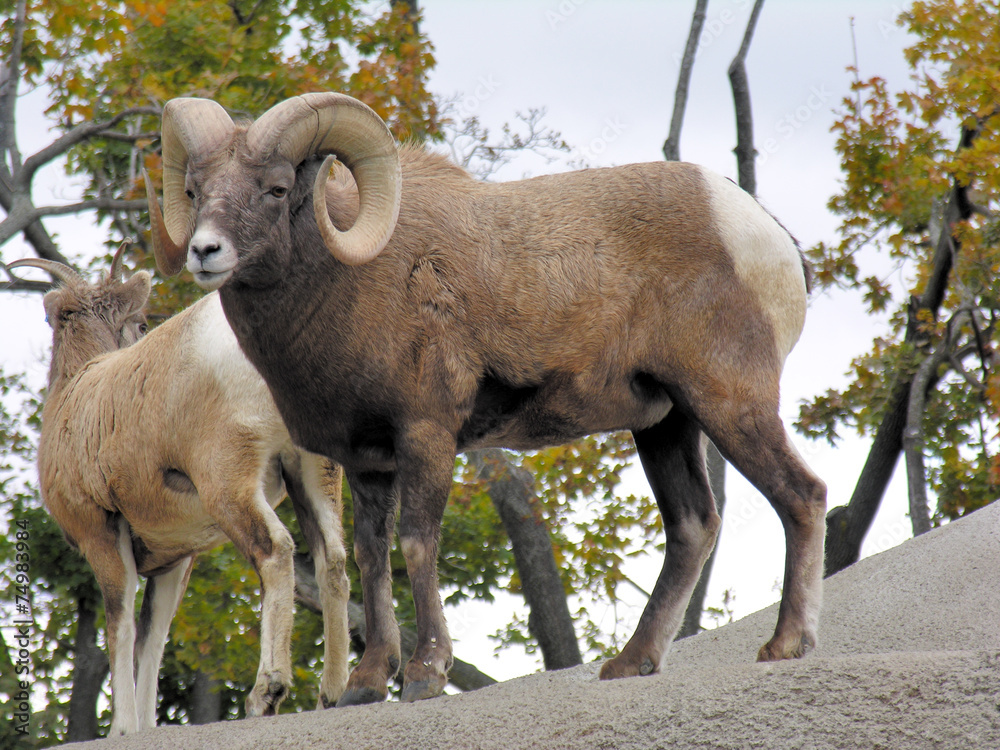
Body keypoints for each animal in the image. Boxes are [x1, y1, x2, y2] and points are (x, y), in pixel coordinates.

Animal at [6, 243, 350, 735]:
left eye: (141, 325)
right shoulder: (176, 558)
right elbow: (154, 638)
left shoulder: (102, 534)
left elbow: (121, 625)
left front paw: (124, 729)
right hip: (313, 474)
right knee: (333, 561)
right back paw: (334, 695)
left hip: (228, 482)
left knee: (274, 551)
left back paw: (266, 694)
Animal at [144, 92, 827, 706]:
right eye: (194, 190)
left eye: (278, 189)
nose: (206, 251)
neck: (351, 286)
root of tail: (765, 233)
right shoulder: (367, 462)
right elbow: (371, 556)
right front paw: (366, 684)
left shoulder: (426, 435)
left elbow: (418, 543)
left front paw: (424, 675)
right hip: (665, 424)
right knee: (692, 525)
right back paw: (631, 664)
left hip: (730, 404)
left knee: (802, 495)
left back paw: (785, 645)